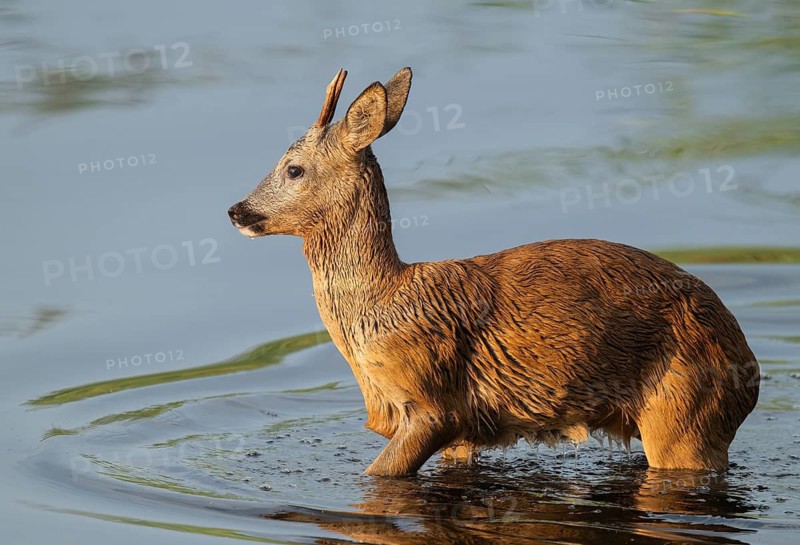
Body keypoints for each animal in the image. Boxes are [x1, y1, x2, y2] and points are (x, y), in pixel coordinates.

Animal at [228, 67, 760, 476]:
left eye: (293, 168)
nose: (236, 211)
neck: (380, 304)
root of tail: (749, 367)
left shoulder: (432, 399)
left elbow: (378, 476)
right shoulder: (462, 432)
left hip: (683, 412)